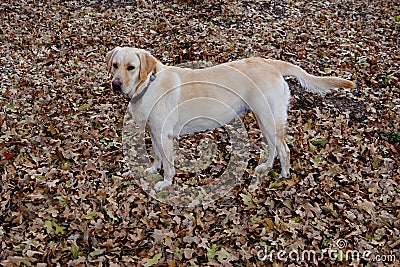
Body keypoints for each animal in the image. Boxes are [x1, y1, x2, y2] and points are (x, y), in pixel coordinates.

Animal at [106, 47, 356, 192]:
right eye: (115, 66)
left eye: (131, 67)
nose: (115, 84)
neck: (148, 85)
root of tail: (271, 63)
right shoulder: (153, 132)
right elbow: (157, 156)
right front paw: (153, 170)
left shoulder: (163, 135)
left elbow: (168, 164)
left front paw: (166, 183)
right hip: (262, 118)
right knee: (273, 147)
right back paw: (266, 167)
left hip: (269, 119)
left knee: (284, 149)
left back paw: (284, 176)